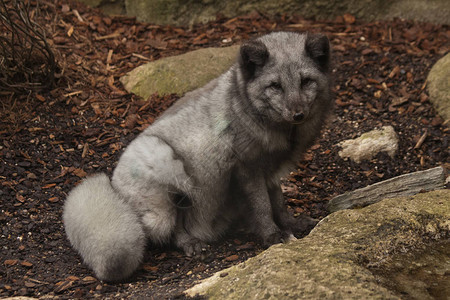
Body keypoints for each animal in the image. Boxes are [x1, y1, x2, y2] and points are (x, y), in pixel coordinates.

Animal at [63, 31, 332, 282]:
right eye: (275, 86)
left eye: (306, 81)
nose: (298, 114)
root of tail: (113, 186)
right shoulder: (248, 169)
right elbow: (263, 206)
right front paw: (272, 235)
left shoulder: (271, 170)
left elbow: (279, 203)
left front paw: (291, 224)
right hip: (168, 166)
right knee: (167, 228)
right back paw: (190, 243)